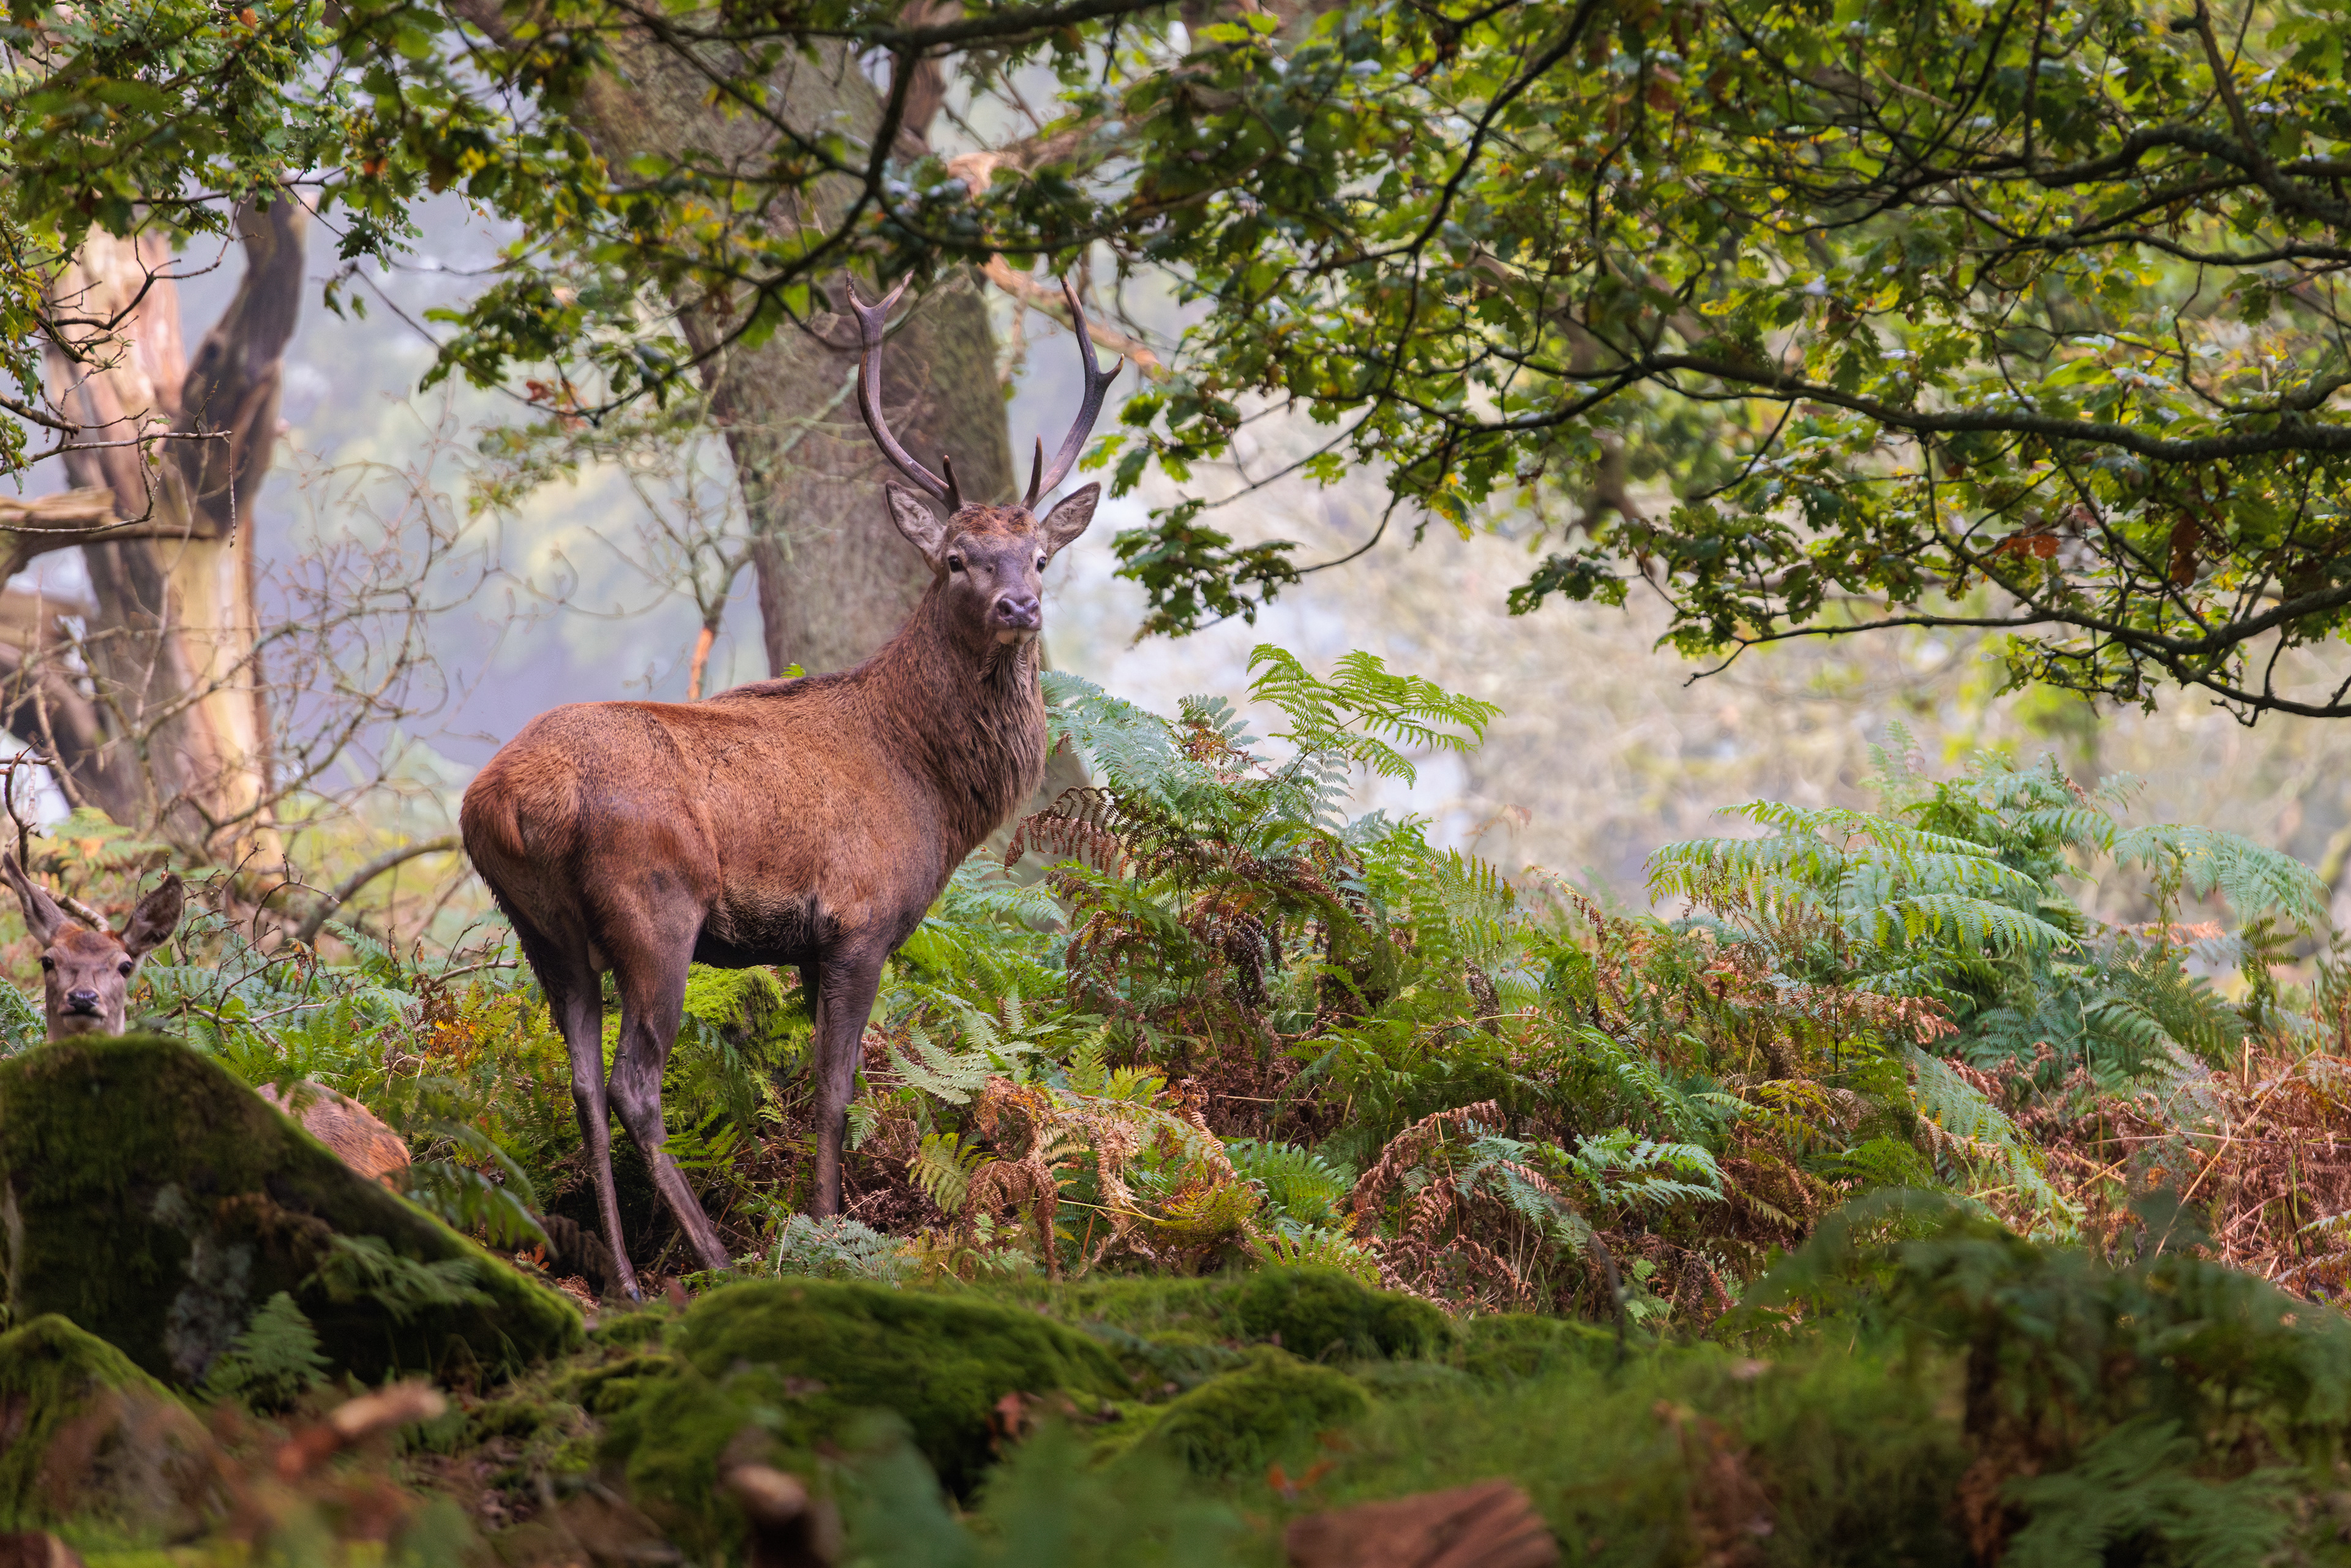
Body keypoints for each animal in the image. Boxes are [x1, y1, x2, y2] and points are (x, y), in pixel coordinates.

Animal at [460, 275, 1121, 1299]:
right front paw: (827, 1232)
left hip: (538, 924)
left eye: (1040, 556)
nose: (1021, 606)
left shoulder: (811, 948)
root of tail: (497, 800)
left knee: (579, 1079)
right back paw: (717, 1258)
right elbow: (836, 1093)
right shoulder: (859, 922)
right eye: (956, 559)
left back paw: (628, 1278)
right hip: (653, 907)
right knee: (635, 1081)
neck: (931, 787)